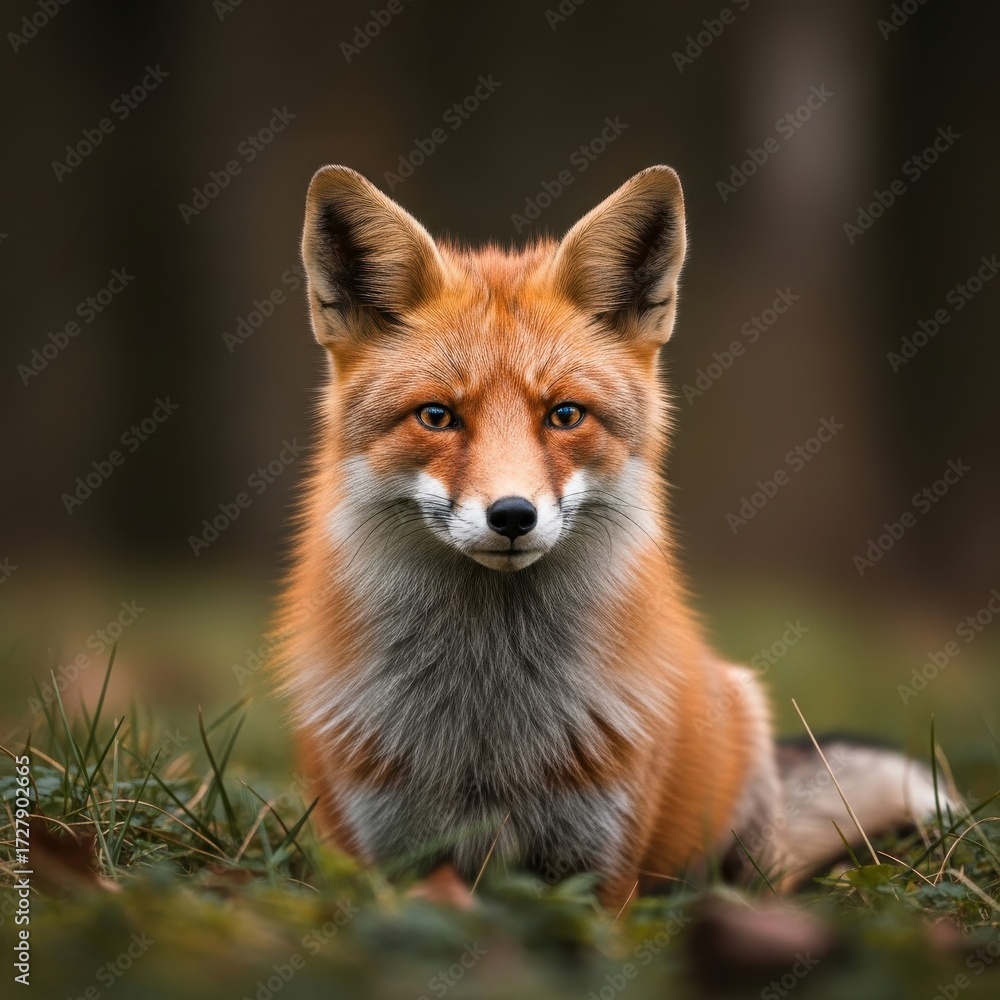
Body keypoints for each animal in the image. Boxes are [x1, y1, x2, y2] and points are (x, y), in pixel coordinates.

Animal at [275, 163, 954, 908]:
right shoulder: (386, 864)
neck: (489, 729)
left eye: (565, 415)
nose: (512, 515)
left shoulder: (598, 867)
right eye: (436, 416)